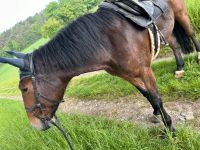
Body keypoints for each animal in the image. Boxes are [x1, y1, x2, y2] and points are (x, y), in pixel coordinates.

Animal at [0, 0, 198, 136]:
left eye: (24, 89)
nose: (34, 124)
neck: (106, 41)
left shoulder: (144, 70)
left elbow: (156, 97)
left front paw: (170, 128)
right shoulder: (126, 74)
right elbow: (146, 95)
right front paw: (156, 114)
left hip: (181, 13)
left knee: (191, 33)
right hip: (167, 28)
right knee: (174, 44)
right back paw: (180, 67)